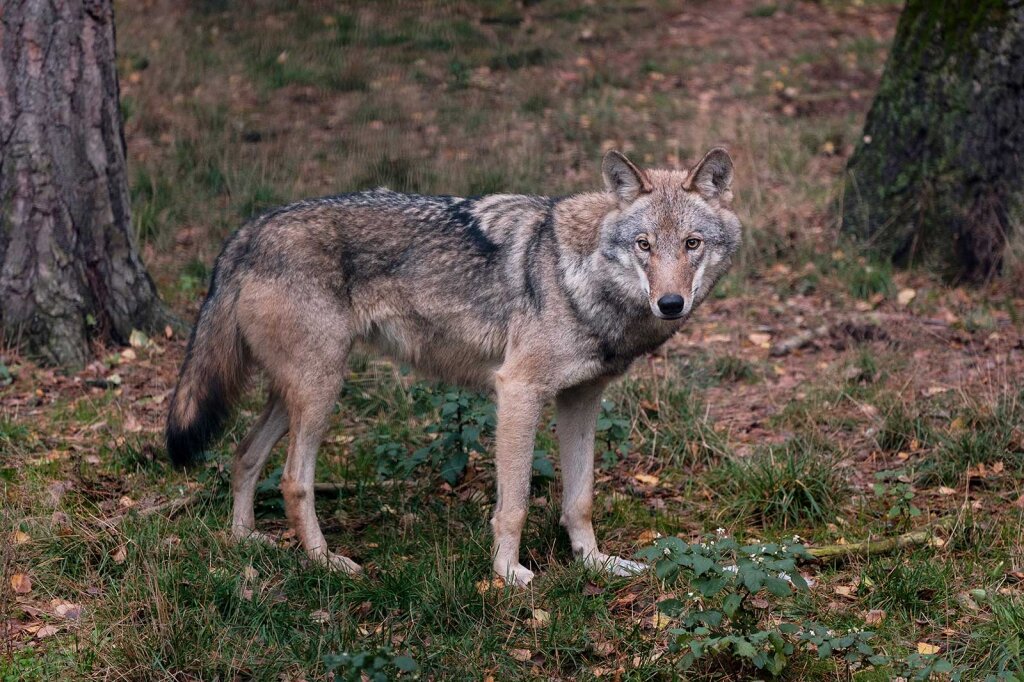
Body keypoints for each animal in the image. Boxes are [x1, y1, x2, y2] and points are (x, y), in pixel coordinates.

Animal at [166, 148, 741, 586]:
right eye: (644, 245)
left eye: (691, 244)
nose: (671, 303)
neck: (578, 275)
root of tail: (248, 230)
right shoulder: (518, 391)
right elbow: (514, 503)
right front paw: (508, 575)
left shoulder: (581, 399)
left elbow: (580, 499)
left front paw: (596, 564)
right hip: (321, 389)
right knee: (292, 480)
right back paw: (326, 562)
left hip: (299, 392)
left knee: (243, 453)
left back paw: (246, 542)